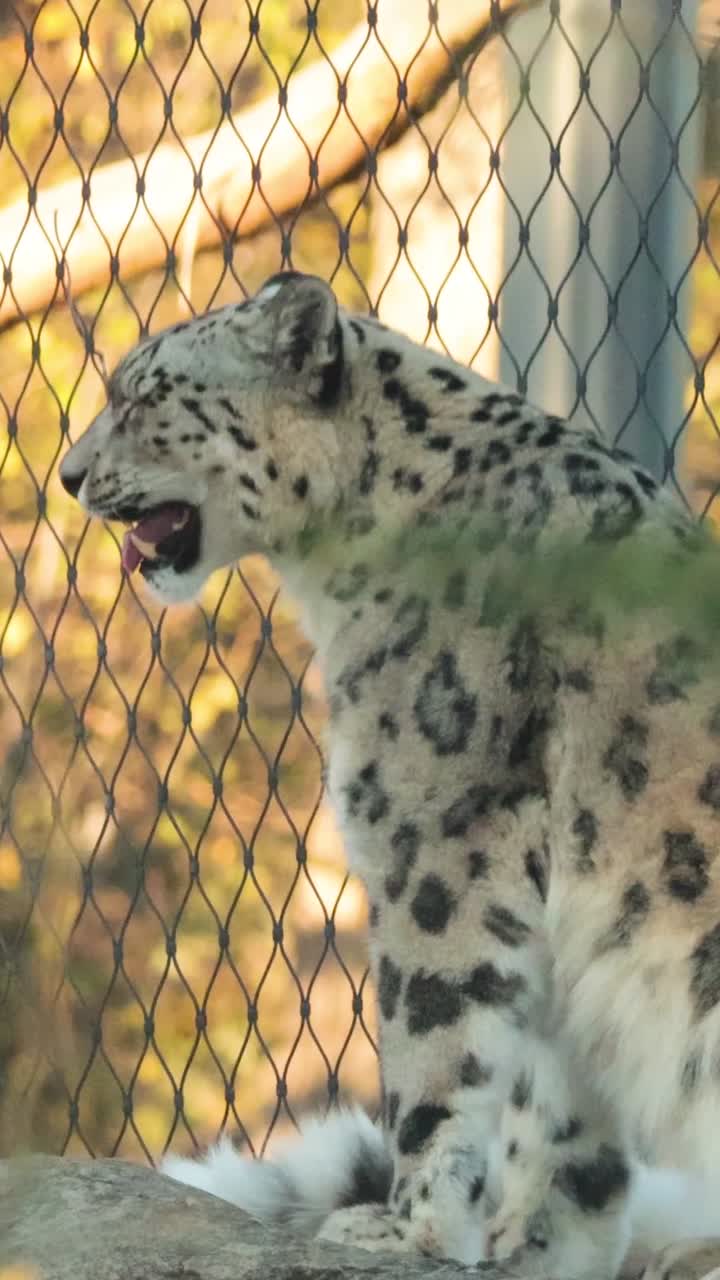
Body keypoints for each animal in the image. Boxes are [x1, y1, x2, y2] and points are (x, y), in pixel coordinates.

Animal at [60, 270, 720, 1280]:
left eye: (144, 394)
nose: (67, 475)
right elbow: (560, 1117)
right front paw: (531, 1248)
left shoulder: (439, 843)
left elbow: (435, 1050)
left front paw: (406, 1228)